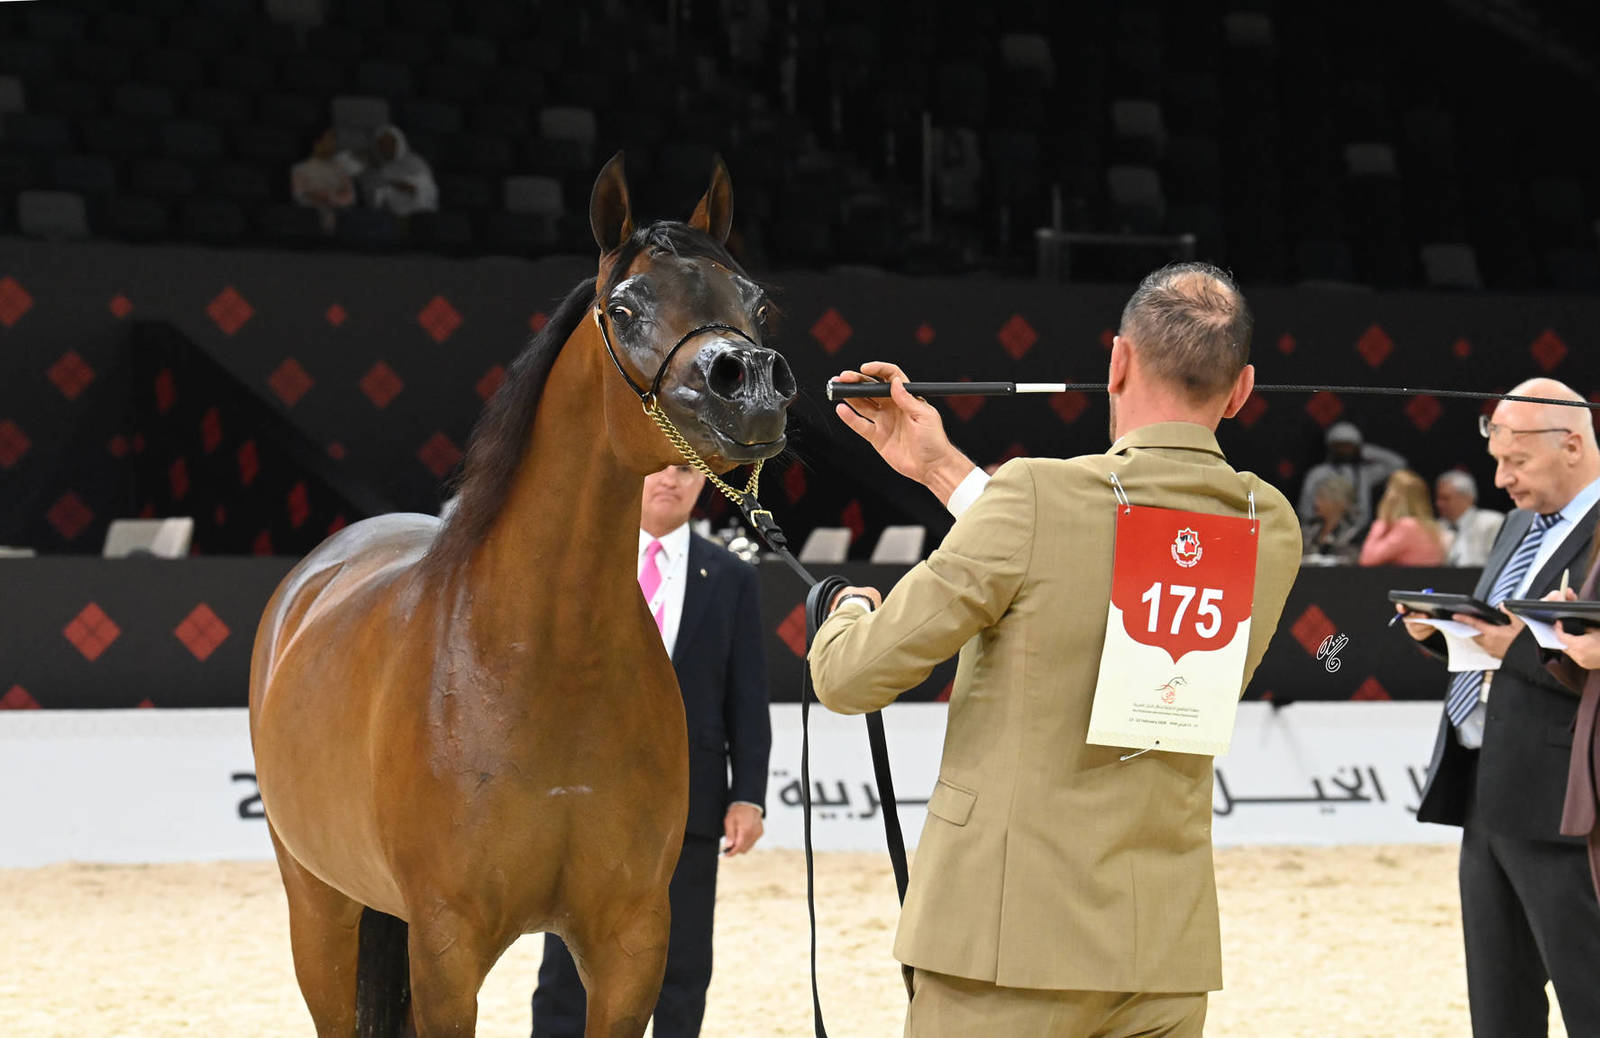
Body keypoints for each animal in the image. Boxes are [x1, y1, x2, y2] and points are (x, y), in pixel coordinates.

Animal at [248, 154, 796, 1038]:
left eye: (757, 303)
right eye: (625, 306)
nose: (748, 386)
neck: (544, 661)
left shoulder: (631, 943)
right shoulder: (446, 947)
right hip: (320, 909)